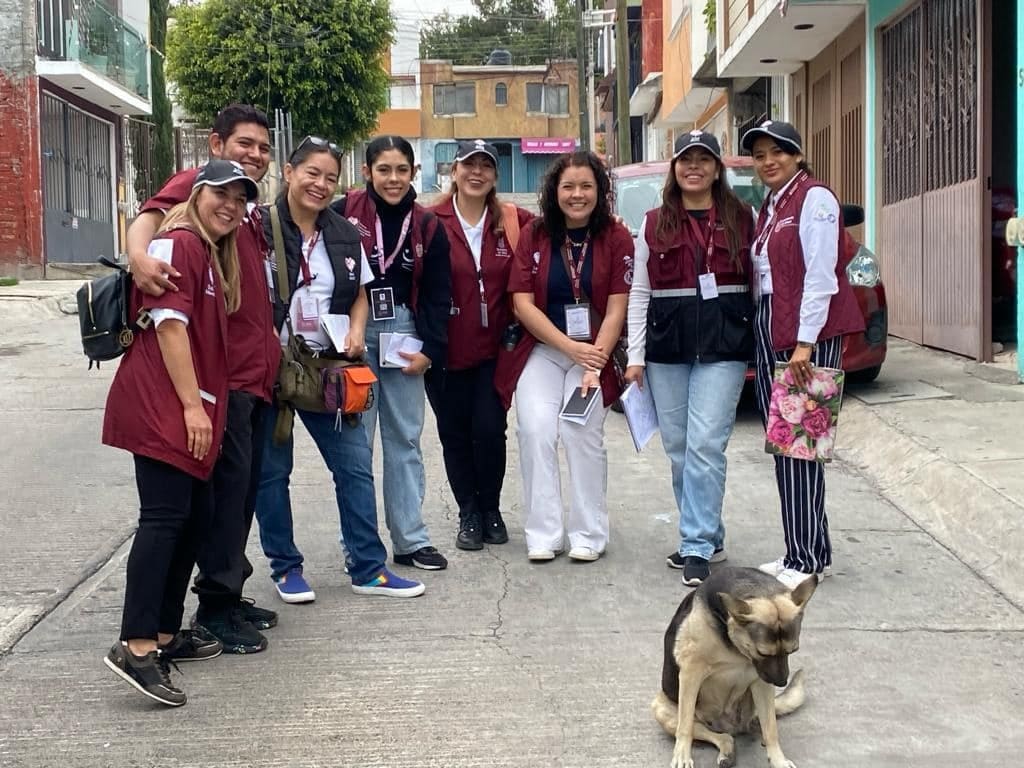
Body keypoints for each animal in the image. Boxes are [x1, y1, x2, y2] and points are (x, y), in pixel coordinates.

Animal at [652, 566, 816, 768]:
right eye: (762, 653)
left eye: (793, 650)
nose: (781, 682)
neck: (736, 648)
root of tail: (730, 726)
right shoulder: (691, 673)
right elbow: (685, 727)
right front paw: (682, 756)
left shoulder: (761, 683)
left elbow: (771, 729)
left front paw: (778, 759)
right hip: (661, 708)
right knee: (718, 735)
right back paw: (727, 750)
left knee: (753, 727)